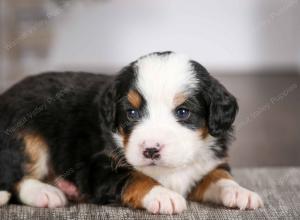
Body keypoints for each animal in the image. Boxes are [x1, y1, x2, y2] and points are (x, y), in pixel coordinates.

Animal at [0, 51, 262, 213]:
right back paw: (46, 192)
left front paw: (241, 193)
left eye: (183, 112)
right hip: (28, 138)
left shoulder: (209, 162)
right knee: (16, 178)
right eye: (132, 113)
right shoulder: (98, 167)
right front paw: (162, 195)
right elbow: (135, 177)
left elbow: (219, 176)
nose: (151, 150)